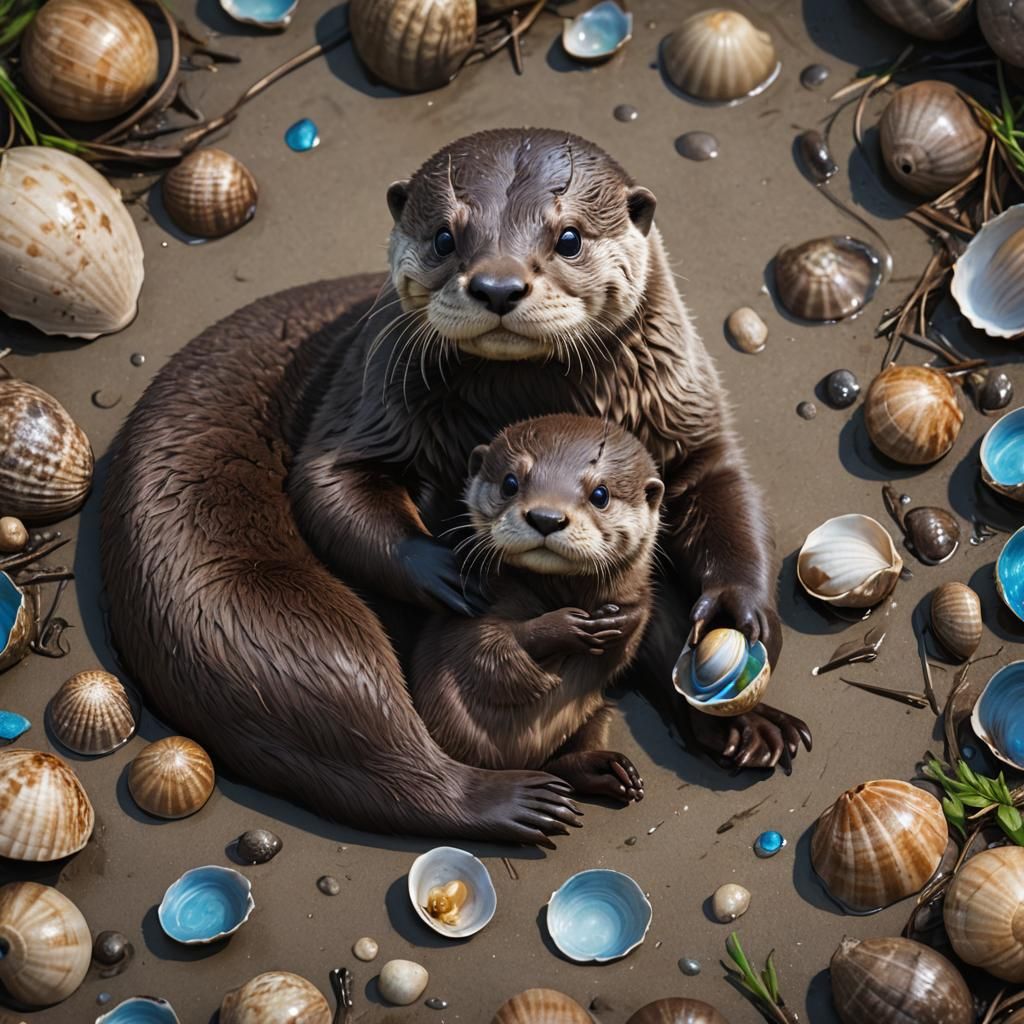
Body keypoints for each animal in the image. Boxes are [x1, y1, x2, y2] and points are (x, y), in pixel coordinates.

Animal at [412, 414, 661, 802]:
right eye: (510, 483)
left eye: (600, 494)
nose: (546, 517)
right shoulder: (460, 622)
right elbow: (487, 654)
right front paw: (565, 627)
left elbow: (633, 629)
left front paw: (619, 620)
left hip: (596, 710)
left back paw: (605, 769)